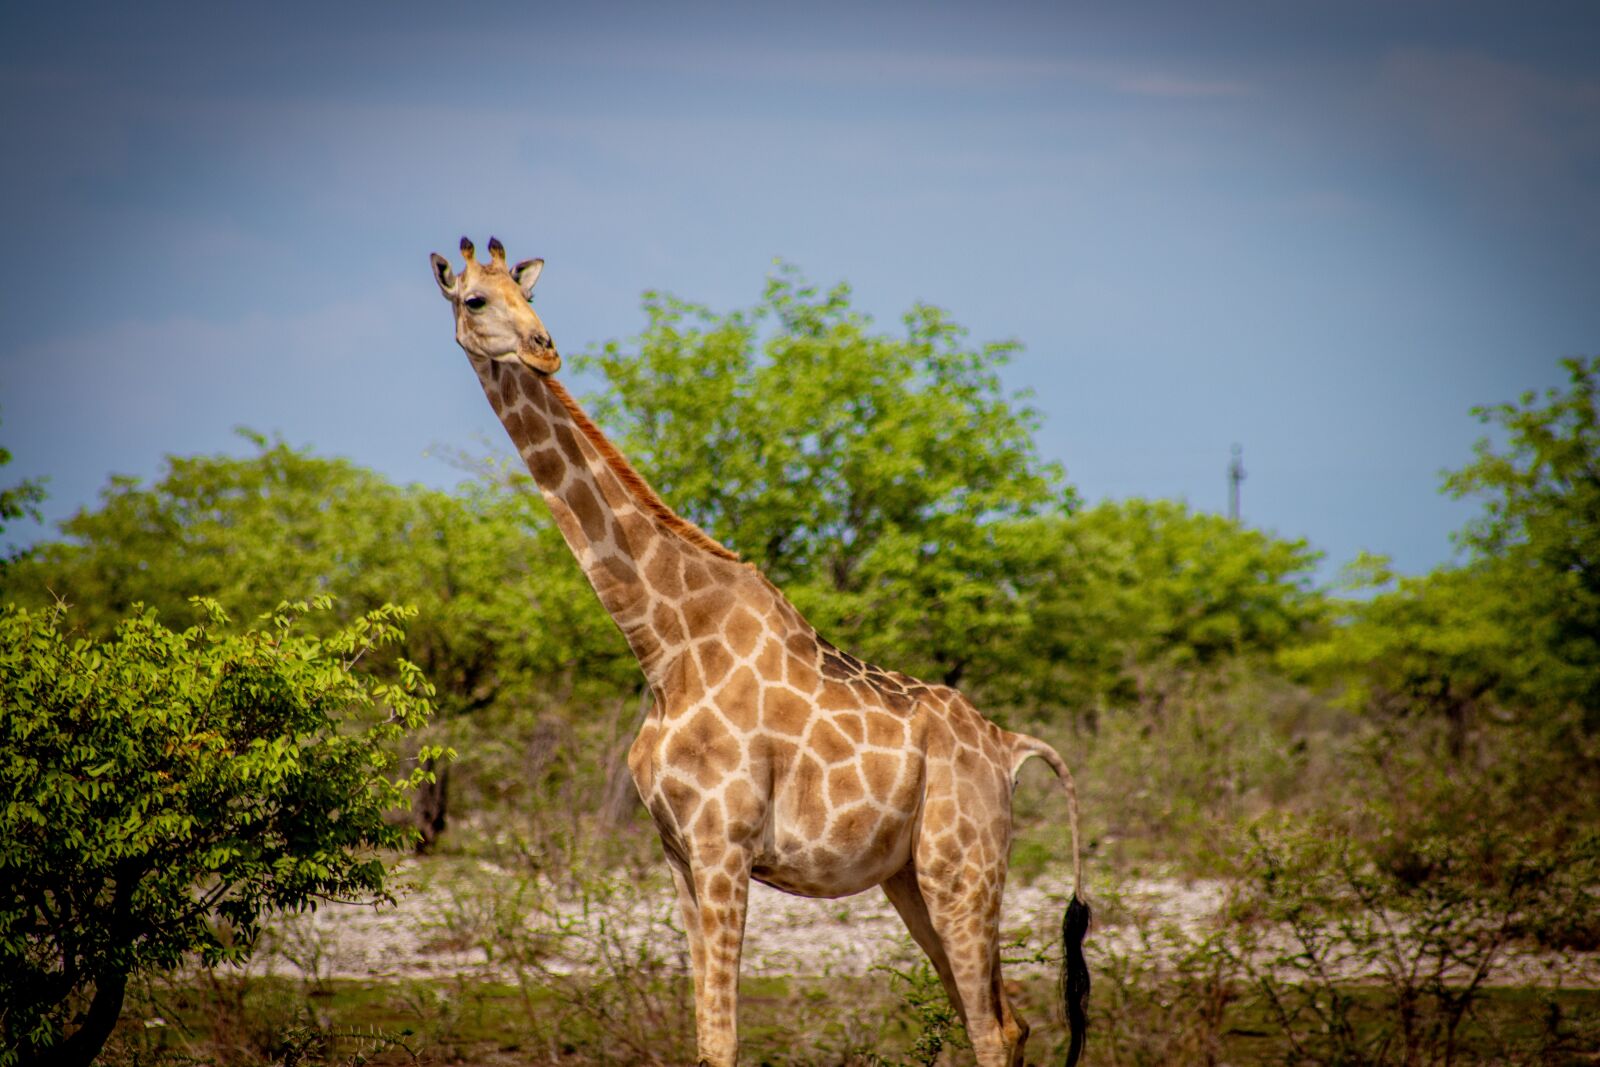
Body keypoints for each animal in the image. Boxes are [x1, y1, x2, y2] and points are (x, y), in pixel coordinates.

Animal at [429, 237, 1091, 1067]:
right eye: (476, 300)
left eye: (526, 296)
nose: (544, 348)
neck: (667, 645)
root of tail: (1008, 745)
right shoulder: (678, 853)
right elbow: (705, 1034)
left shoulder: (724, 845)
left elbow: (722, 1040)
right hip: (910, 875)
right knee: (1009, 1020)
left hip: (961, 868)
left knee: (990, 1025)